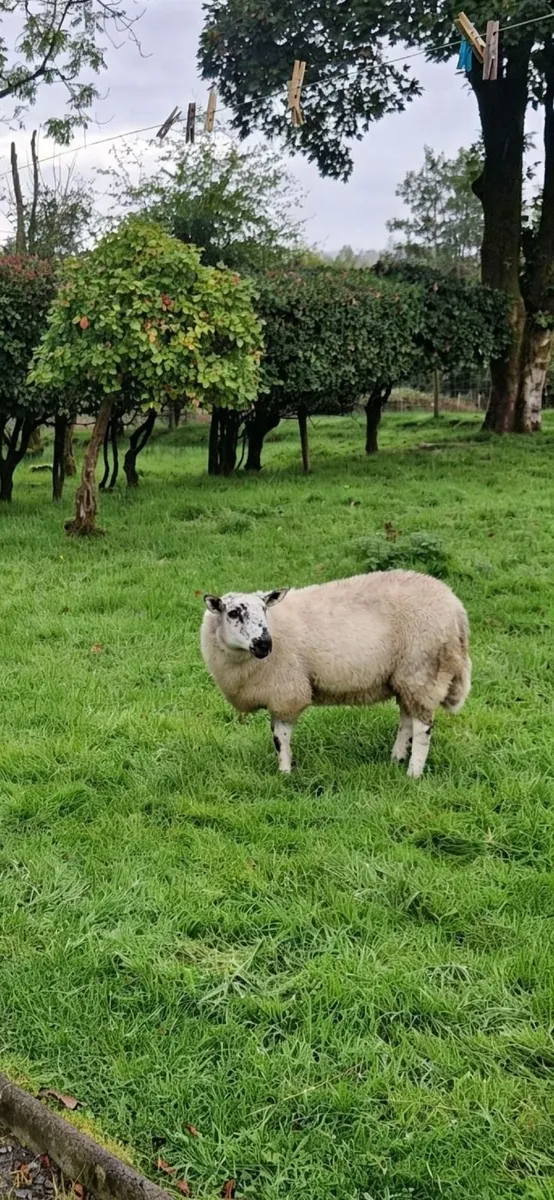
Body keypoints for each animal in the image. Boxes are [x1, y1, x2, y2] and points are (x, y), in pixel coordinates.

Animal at [200, 571, 471, 778]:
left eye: (265, 609)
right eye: (233, 613)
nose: (265, 644)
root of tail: (456, 607)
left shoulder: (286, 692)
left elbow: (280, 738)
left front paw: (284, 772)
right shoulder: (277, 694)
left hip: (422, 670)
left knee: (423, 728)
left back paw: (413, 773)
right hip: (404, 677)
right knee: (407, 719)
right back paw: (396, 758)